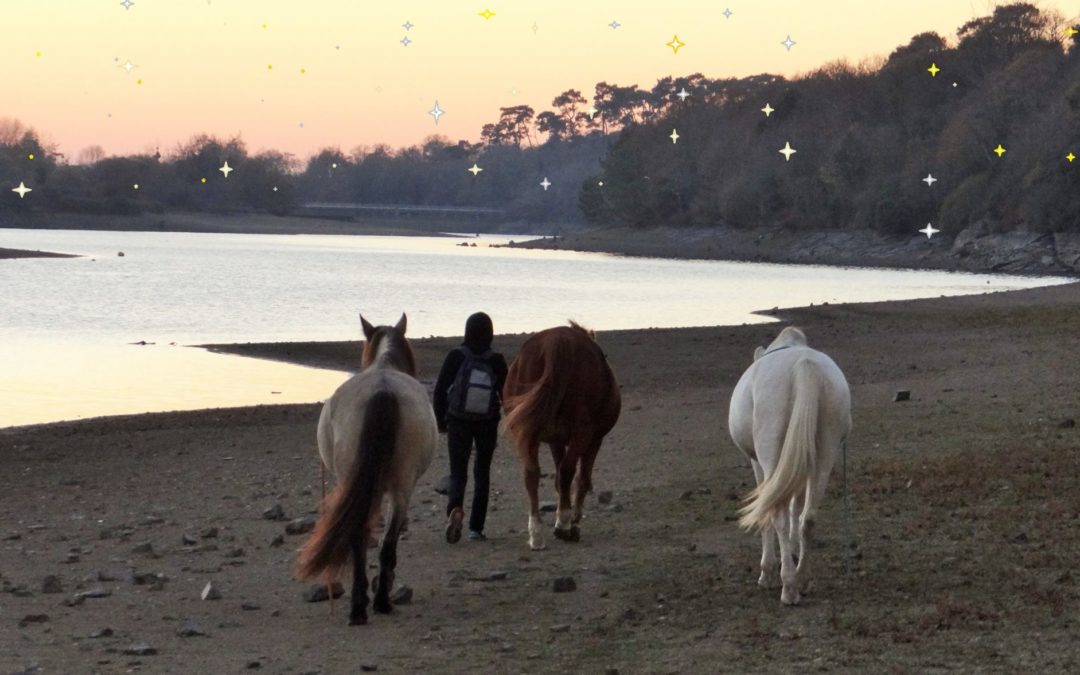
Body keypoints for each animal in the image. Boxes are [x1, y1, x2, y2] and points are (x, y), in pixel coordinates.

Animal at [295, 313, 434, 622]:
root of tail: (383, 390)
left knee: (366, 538)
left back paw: (365, 605)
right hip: (398, 489)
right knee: (379, 542)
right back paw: (374, 603)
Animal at [501, 319, 622, 548]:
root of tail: (557, 341)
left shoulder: (554, 441)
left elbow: (557, 478)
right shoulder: (594, 441)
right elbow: (581, 479)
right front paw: (573, 525)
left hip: (530, 433)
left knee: (532, 473)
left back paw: (536, 533)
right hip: (582, 434)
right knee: (568, 472)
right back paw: (564, 525)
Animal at [725, 326, 851, 604]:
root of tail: (804, 365)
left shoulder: (757, 464)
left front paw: (768, 571)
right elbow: (797, 505)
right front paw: (791, 553)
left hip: (770, 454)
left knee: (778, 514)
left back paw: (788, 586)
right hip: (824, 454)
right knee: (809, 516)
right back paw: (802, 578)